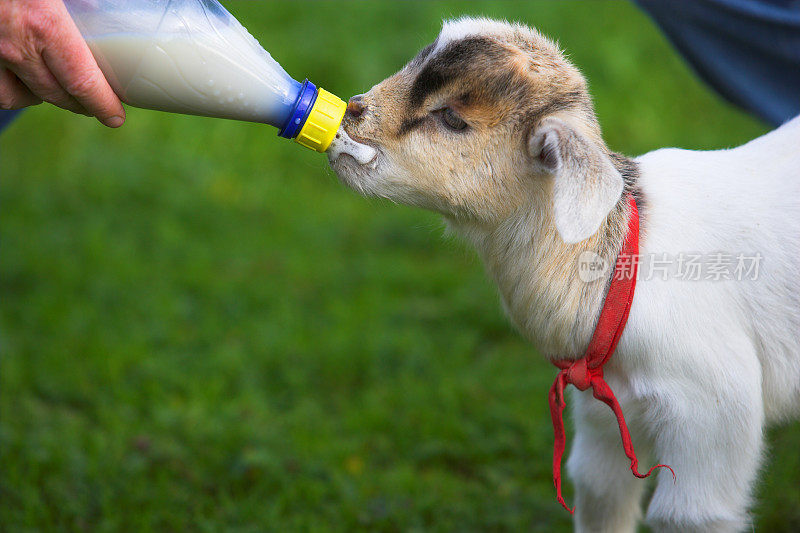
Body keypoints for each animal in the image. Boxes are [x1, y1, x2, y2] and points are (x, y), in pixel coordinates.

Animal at [326, 16, 800, 532]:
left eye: (451, 118)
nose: (352, 111)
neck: (621, 268)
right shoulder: (604, 412)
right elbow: (600, 492)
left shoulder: (710, 415)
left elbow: (686, 514)